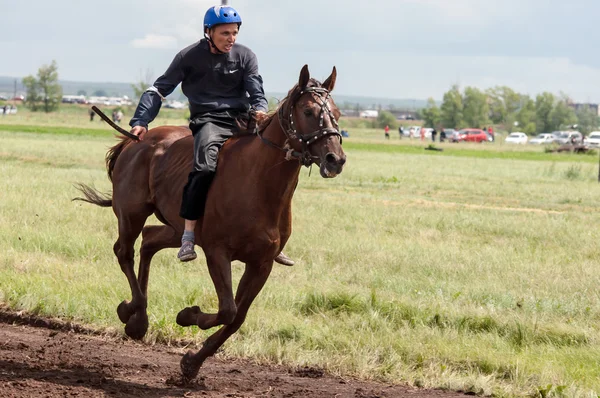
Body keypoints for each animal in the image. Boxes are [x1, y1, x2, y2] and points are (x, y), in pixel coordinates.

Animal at [75, 65, 346, 380]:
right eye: (308, 111)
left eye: (336, 113)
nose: (335, 158)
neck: (259, 182)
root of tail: (137, 140)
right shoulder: (218, 253)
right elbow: (228, 309)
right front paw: (187, 315)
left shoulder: (261, 263)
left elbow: (237, 317)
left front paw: (192, 363)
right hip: (131, 214)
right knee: (124, 251)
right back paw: (135, 316)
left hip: (177, 228)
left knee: (150, 240)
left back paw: (138, 317)